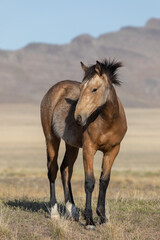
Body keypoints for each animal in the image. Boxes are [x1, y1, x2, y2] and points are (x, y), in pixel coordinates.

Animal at [40, 58, 127, 229]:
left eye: (94, 89)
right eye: (80, 88)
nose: (78, 117)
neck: (108, 121)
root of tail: (54, 89)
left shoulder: (112, 151)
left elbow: (104, 181)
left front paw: (102, 217)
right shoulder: (89, 149)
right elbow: (89, 182)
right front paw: (90, 221)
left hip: (71, 145)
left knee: (66, 169)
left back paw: (72, 211)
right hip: (51, 138)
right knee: (52, 169)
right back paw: (54, 212)